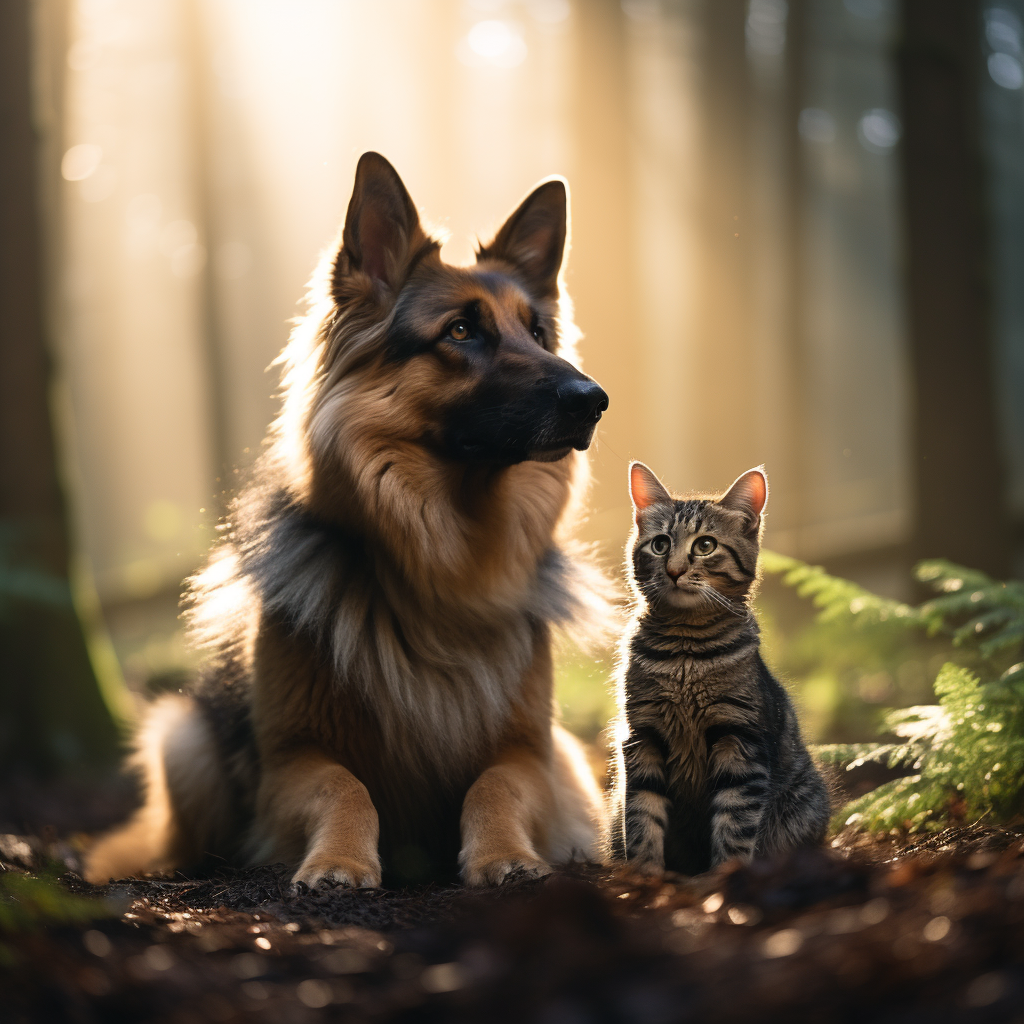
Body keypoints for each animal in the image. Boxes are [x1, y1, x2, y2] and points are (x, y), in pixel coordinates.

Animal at [86, 151, 606, 888]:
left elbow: (495, 784)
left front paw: (506, 855)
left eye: (537, 333)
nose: (594, 400)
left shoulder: (535, 751)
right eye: (461, 330)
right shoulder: (290, 760)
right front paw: (337, 861)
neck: (440, 566)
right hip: (184, 739)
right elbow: (345, 786)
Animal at [606, 464, 831, 872]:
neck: (685, 655)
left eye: (705, 546)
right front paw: (645, 877)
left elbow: (734, 826)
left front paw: (725, 876)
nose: (675, 570)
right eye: (660, 545)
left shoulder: (739, 739)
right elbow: (642, 819)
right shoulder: (641, 735)